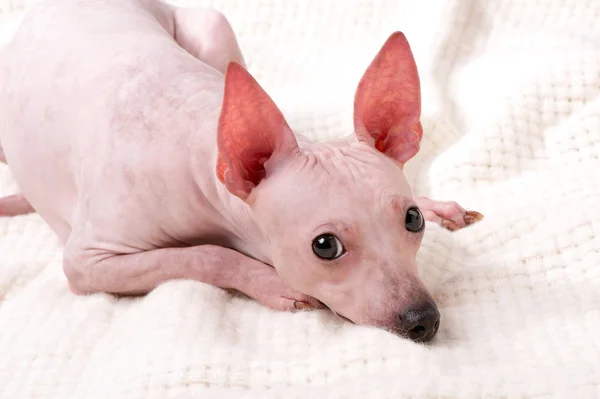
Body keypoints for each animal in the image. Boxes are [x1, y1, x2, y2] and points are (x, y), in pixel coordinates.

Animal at [0, 0, 480, 344]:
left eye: (412, 220)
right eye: (325, 246)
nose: (423, 321)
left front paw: (436, 206)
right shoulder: (88, 263)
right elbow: (205, 254)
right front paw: (272, 283)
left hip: (213, 31)